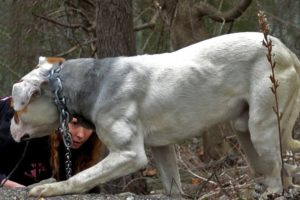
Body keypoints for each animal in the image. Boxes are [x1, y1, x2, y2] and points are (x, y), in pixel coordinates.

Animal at [10, 32, 300, 196]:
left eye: (16, 111)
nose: (9, 127)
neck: (87, 83)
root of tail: (285, 49)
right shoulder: (162, 149)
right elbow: (172, 186)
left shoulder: (129, 154)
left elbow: (81, 177)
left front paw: (50, 188)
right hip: (246, 131)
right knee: (280, 169)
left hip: (261, 127)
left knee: (276, 170)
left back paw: (271, 191)